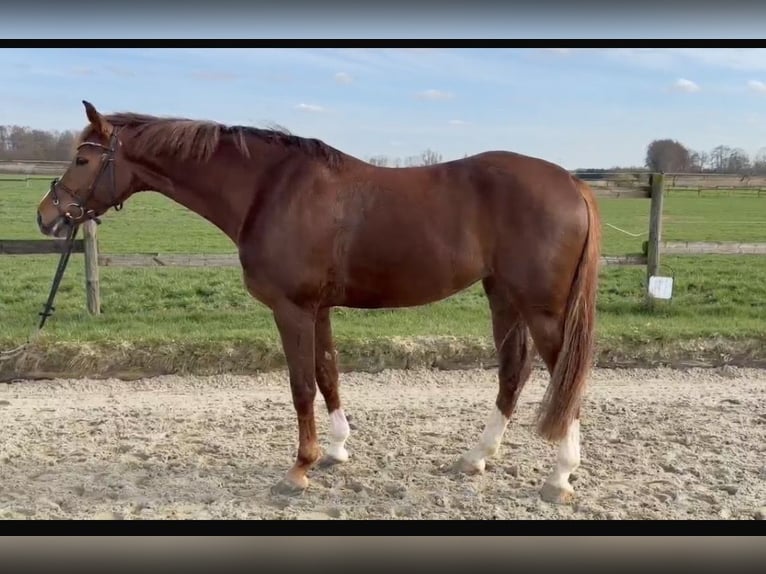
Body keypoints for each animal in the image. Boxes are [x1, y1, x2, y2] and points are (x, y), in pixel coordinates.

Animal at [37, 101, 601, 503]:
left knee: (566, 379)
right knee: (513, 372)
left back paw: (559, 477)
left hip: (544, 310)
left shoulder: (292, 309)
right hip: (503, 296)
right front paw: (335, 450)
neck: (269, 189)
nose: (47, 216)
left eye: (83, 158)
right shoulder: (320, 309)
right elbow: (328, 373)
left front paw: (299, 470)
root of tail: (573, 184)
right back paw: (476, 457)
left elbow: (301, 386)